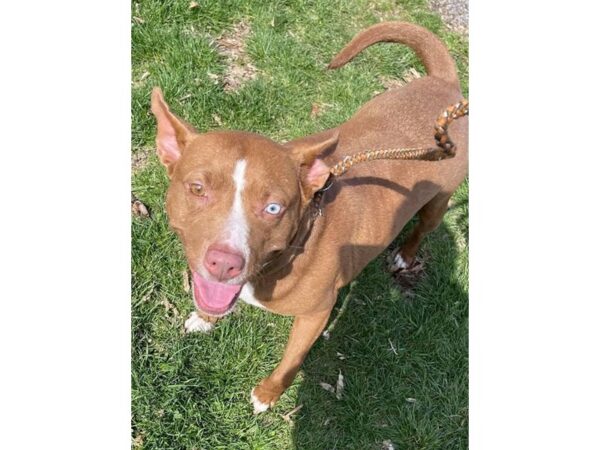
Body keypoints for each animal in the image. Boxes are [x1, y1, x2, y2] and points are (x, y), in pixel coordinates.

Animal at [151, 22, 468, 414]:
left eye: (274, 208)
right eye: (197, 188)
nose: (224, 263)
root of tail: (444, 84)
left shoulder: (316, 314)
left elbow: (290, 362)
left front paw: (267, 394)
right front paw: (206, 319)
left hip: (439, 200)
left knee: (423, 227)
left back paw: (405, 256)